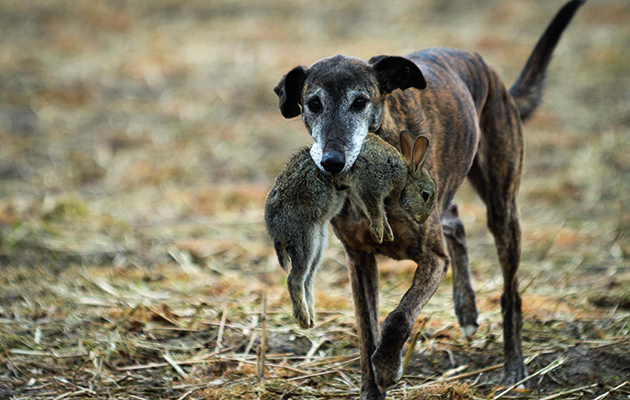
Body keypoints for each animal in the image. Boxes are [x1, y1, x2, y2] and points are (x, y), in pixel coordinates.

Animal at [274, 2, 592, 396]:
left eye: (360, 102)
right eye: (312, 104)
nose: (332, 162)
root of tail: (485, 66)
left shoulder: (433, 258)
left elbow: (398, 316)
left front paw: (387, 365)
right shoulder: (359, 260)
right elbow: (367, 330)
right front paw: (372, 387)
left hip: (502, 207)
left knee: (510, 292)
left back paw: (513, 368)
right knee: (455, 222)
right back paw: (467, 309)